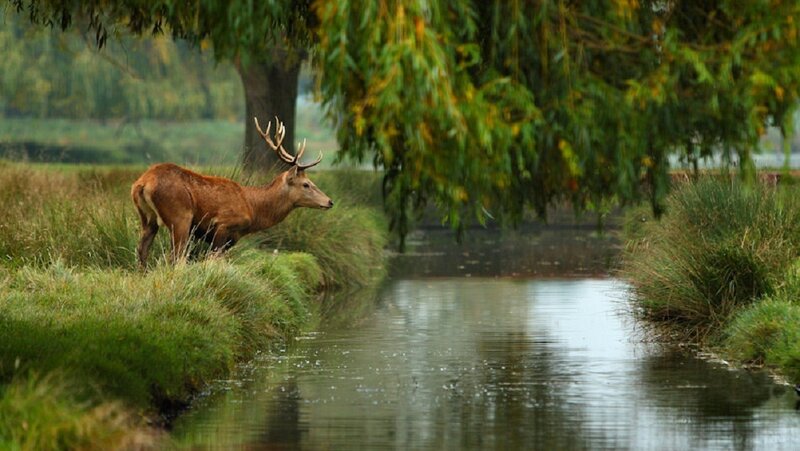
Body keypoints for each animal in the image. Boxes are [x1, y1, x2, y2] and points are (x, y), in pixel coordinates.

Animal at [131, 116, 333, 268]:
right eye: (306, 184)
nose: (330, 201)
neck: (252, 208)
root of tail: (143, 183)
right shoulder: (223, 224)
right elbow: (213, 260)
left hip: (147, 218)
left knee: (142, 250)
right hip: (180, 215)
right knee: (175, 256)